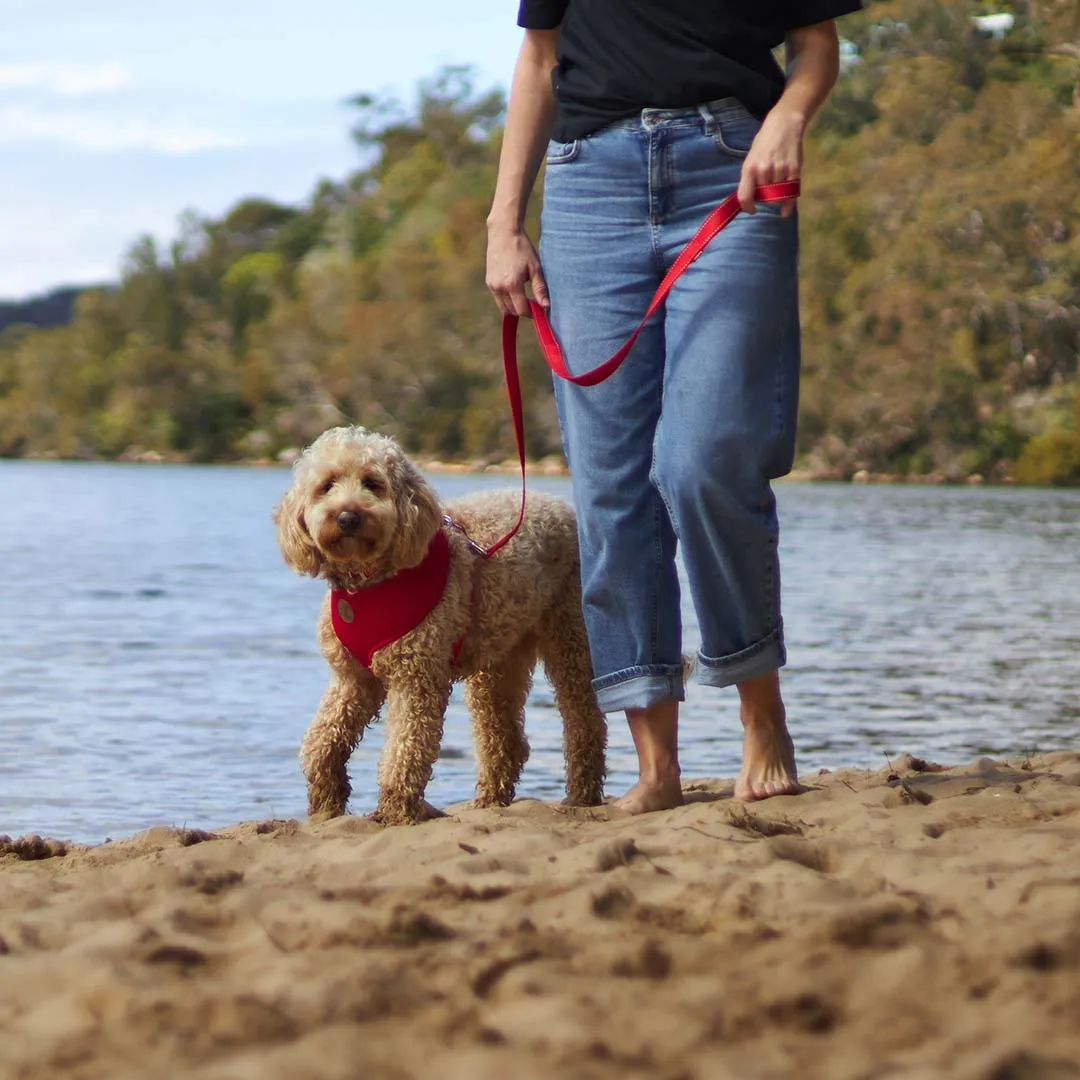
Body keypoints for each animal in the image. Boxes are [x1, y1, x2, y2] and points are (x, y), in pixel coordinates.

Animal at [272, 425, 609, 820]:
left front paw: (395, 811)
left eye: (372, 483)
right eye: (326, 485)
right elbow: (321, 741)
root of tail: (562, 506)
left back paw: (582, 795)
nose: (347, 518)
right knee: (506, 739)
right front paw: (326, 801)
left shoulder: (416, 677)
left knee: (585, 722)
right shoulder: (352, 679)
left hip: (570, 639)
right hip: (497, 663)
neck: (370, 583)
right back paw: (489, 801)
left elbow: (405, 750)